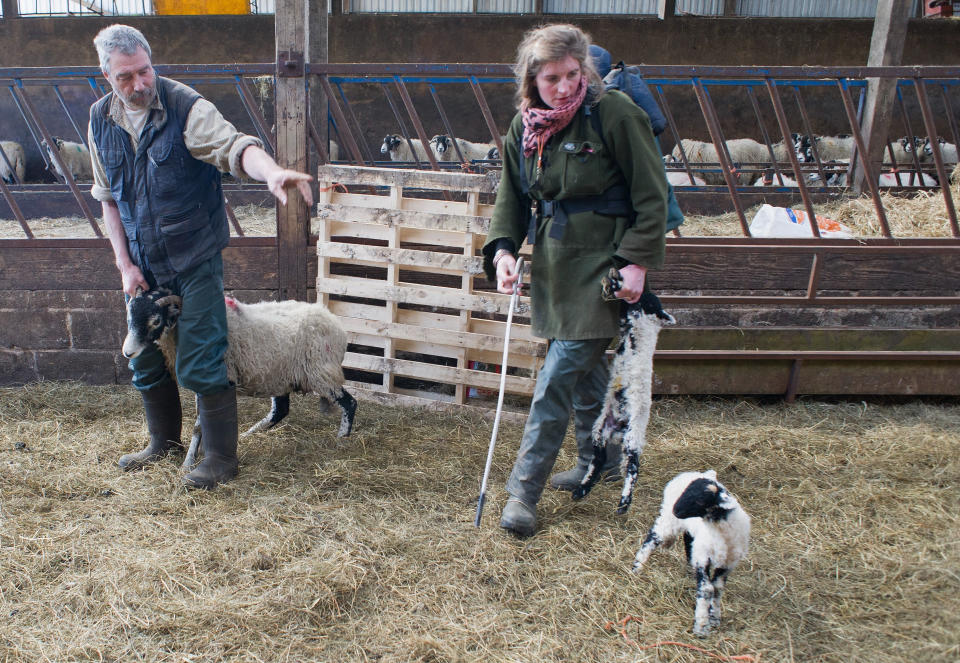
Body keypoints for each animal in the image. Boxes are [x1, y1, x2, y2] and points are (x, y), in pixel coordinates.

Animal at [122, 288, 358, 470]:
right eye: (129, 318)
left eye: (156, 321)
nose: (127, 352)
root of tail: (334, 323)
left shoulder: (214, 378)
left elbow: (199, 425)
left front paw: (188, 463)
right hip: (278, 374)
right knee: (280, 410)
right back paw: (249, 434)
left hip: (321, 372)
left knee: (350, 403)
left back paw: (341, 438)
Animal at [568, 272, 676, 516]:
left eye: (650, 299)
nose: (643, 290)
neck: (648, 324)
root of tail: (619, 427)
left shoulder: (632, 318)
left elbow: (624, 307)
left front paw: (615, 281)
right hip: (599, 430)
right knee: (599, 460)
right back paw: (582, 490)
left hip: (633, 438)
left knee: (633, 468)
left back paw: (624, 503)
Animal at [632, 470, 752, 640]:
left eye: (701, 500)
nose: (676, 510)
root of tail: (689, 473)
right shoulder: (703, 557)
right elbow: (707, 588)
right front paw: (701, 627)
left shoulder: (728, 563)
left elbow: (718, 588)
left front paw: (714, 618)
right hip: (668, 521)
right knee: (651, 539)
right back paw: (637, 568)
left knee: (688, 541)